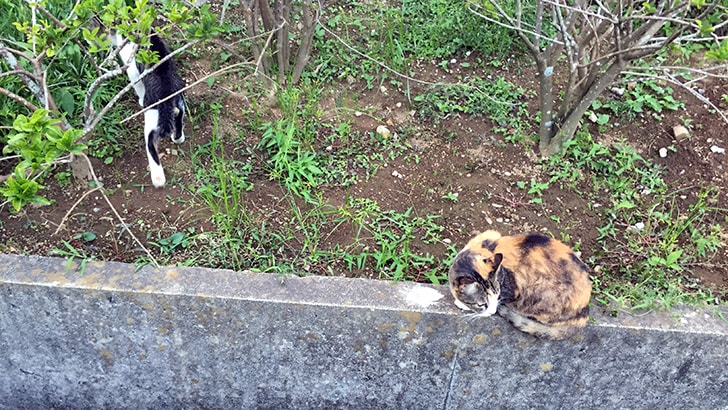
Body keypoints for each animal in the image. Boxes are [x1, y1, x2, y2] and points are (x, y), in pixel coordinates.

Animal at [111, 30, 186, 187]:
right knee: (179, 115)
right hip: (179, 96)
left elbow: (137, 85)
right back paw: (178, 138)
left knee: (150, 142)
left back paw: (158, 178)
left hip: (152, 112)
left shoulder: (132, 69)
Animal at [450, 231, 592, 340]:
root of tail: (585, 308)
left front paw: (461, 303)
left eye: (497, 296)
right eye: (481, 304)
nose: (493, 312)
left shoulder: (513, 291)